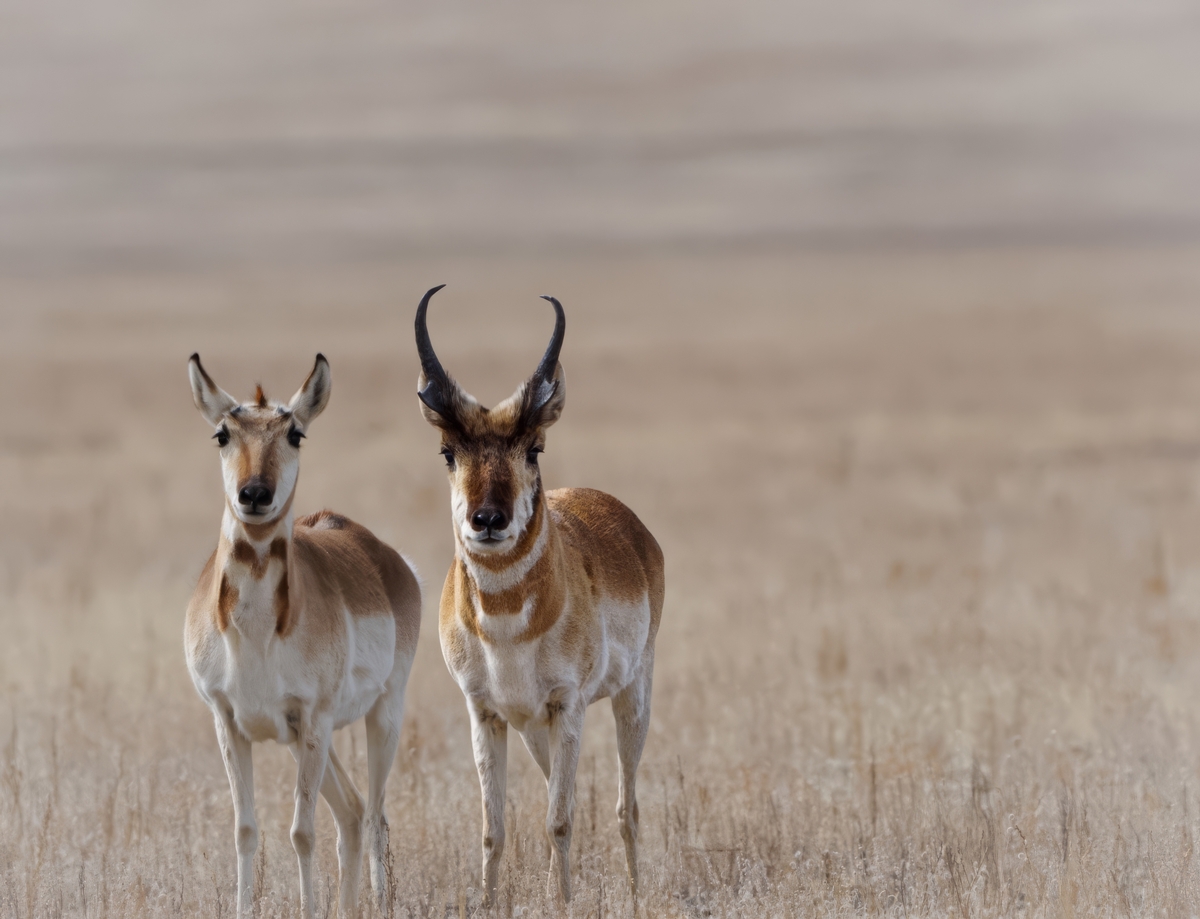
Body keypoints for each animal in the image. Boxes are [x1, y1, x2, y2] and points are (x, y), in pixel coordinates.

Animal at [185, 353, 421, 919]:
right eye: (222, 433)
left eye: (295, 433)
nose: (254, 494)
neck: (256, 635)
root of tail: (384, 556)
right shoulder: (231, 723)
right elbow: (246, 831)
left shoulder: (312, 719)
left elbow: (301, 832)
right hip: (307, 739)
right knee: (353, 811)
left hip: (380, 716)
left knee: (374, 816)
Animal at [413, 286, 665, 906]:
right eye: (448, 452)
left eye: (534, 448)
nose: (488, 520)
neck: (508, 626)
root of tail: (628, 523)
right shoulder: (487, 713)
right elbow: (494, 827)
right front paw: (486, 903)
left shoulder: (566, 705)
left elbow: (559, 819)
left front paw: (564, 902)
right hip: (533, 728)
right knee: (561, 788)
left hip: (632, 698)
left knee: (626, 806)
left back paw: (634, 892)